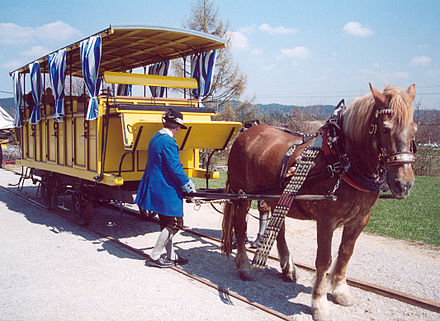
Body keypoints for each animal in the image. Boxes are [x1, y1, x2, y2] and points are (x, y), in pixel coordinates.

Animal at [222, 84, 418, 318]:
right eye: (385, 129)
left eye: (414, 129)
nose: (404, 184)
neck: (343, 158)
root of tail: (248, 131)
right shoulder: (327, 220)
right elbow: (324, 260)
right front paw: (319, 303)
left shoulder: (360, 220)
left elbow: (345, 254)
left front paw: (340, 291)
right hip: (242, 196)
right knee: (240, 226)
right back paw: (244, 267)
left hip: (274, 195)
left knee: (279, 227)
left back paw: (287, 267)